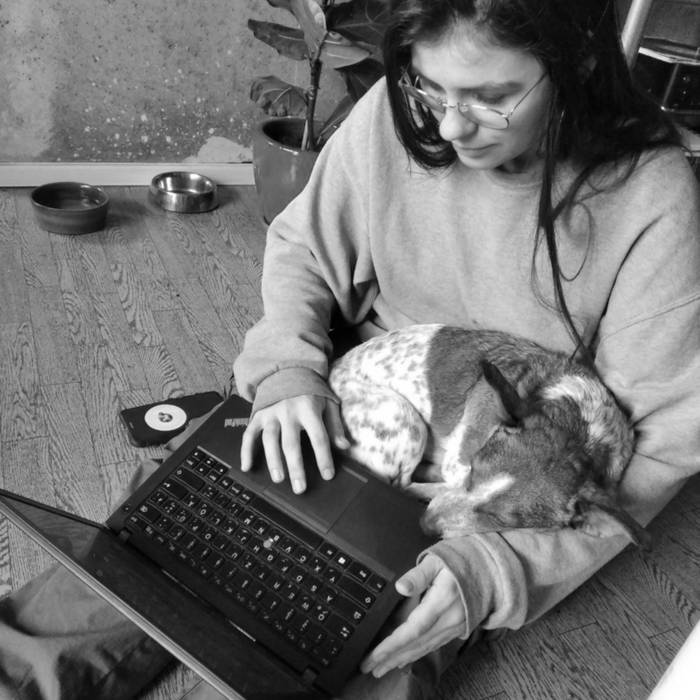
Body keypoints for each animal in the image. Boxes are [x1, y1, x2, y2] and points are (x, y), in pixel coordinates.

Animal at [328, 324, 649, 548]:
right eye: (474, 470)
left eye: (499, 519)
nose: (426, 526)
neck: (580, 428)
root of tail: (333, 369)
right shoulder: (459, 461)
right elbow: (444, 483)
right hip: (406, 419)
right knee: (402, 482)